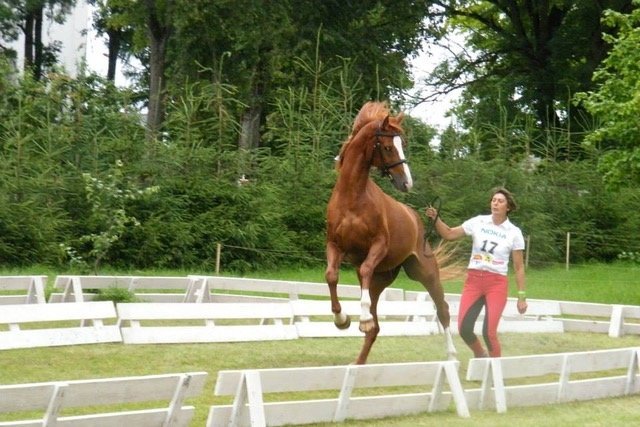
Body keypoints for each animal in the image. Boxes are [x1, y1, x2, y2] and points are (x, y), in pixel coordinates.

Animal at [328, 101, 458, 364]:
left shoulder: (378, 245)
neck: (352, 198)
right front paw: (341, 319)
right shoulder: (334, 245)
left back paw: (451, 356)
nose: (407, 183)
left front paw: (361, 318)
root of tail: (417, 220)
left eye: (402, 145)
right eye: (388, 147)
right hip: (380, 280)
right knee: (375, 326)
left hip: (425, 272)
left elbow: (365, 268)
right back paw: (359, 361)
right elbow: (331, 276)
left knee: (443, 309)